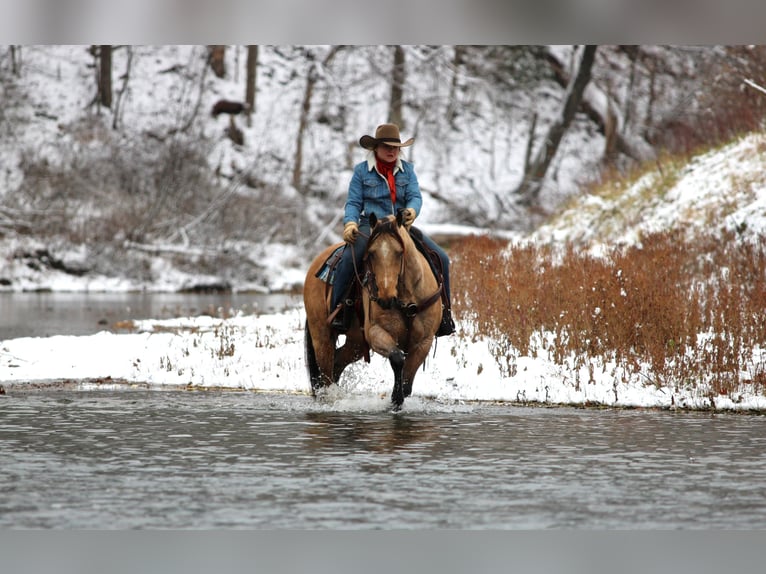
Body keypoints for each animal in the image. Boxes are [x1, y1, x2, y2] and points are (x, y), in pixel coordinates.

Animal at [303, 211, 444, 410]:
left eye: (399, 252)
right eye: (370, 254)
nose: (385, 297)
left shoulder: (423, 342)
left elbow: (407, 383)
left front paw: (398, 399)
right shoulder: (376, 332)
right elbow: (397, 358)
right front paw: (395, 398)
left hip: (355, 342)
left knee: (337, 363)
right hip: (321, 335)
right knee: (326, 374)